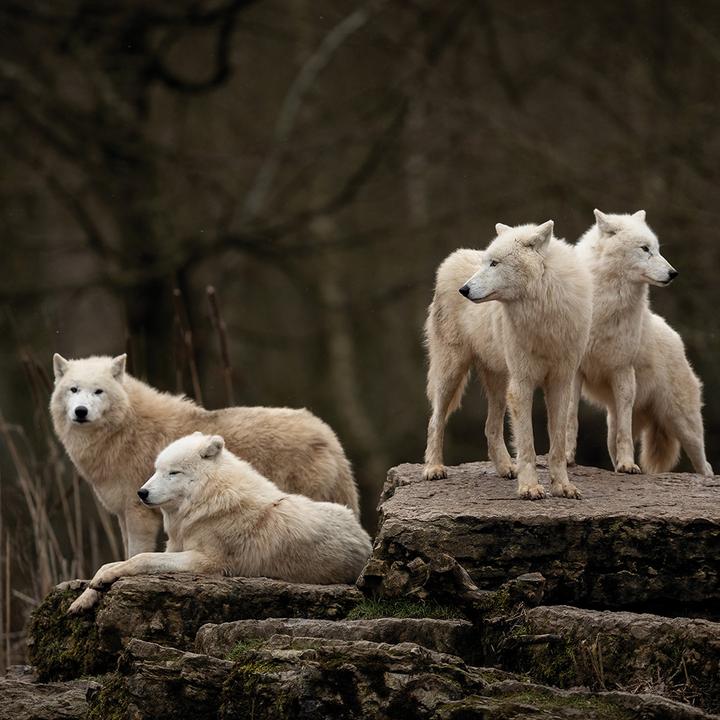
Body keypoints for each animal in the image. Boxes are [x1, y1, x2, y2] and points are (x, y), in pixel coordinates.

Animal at [51, 354, 359, 558]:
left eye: (98, 391)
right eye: (73, 389)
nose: (80, 411)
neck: (126, 429)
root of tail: (329, 435)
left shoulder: (139, 513)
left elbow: (135, 554)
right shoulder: (124, 515)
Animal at [68, 432, 372, 613]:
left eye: (173, 472)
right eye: (156, 470)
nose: (141, 493)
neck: (208, 498)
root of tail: (366, 540)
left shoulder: (206, 562)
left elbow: (140, 559)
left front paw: (104, 580)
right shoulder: (175, 548)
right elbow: (109, 564)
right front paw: (83, 598)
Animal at [423, 221, 592, 499]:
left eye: (494, 263)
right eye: (486, 262)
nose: (464, 290)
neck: (542, 315)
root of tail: (452, 258)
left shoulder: (560, 382)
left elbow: (557, 445)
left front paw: (562, 487)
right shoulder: (522, 383)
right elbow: (527, 445)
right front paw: (530, 487)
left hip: (499, 383)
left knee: (490, 427)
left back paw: (505, 468)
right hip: (452, 372)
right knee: (435, 419)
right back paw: (433, 468)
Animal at [566, 210, 712, 476]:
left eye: (657, 248)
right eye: (645, 249)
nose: (674, 273)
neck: (603, 304)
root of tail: (677, 339)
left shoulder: (623, 371)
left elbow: (624, 433)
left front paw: (628, 465)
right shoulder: (574, 370)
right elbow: (570, 419)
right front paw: (566, 457)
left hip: (685, 426)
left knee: (704, 465)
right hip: (613, 427)